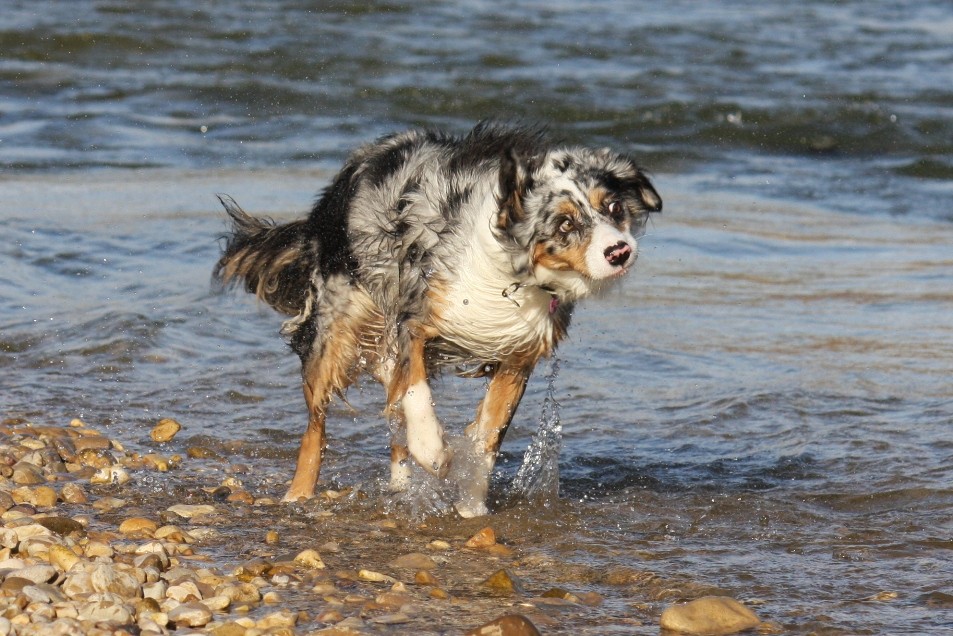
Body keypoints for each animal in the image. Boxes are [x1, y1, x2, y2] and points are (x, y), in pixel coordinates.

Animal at [216, 120, 660, 516]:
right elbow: (416, 392)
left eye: (614, 207)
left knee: (392, 419)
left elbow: (488, 434)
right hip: (335, 332)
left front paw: (471, 505)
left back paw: (400, 486)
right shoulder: (412, 319)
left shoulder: (517, 353)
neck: (512, 273)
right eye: (565, 223)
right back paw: (299, 494)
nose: (619, 251)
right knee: (316, 426)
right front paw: (433, 451)